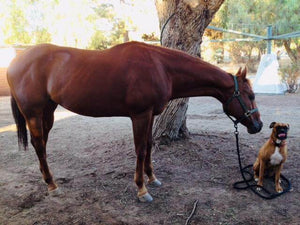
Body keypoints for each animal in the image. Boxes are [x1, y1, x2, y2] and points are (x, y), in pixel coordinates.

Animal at [7, 41, 262, 202]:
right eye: (250, 95)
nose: (258, 125)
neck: (161, 67)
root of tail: (15, 61)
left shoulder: (150, 115)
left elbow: (148, 146)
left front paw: (152, 178)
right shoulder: (140, 115)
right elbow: (140, 149)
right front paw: (141, 189)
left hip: (47, 112)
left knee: (42, 144)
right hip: (34, 113)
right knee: (39, 145)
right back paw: (52, 185)